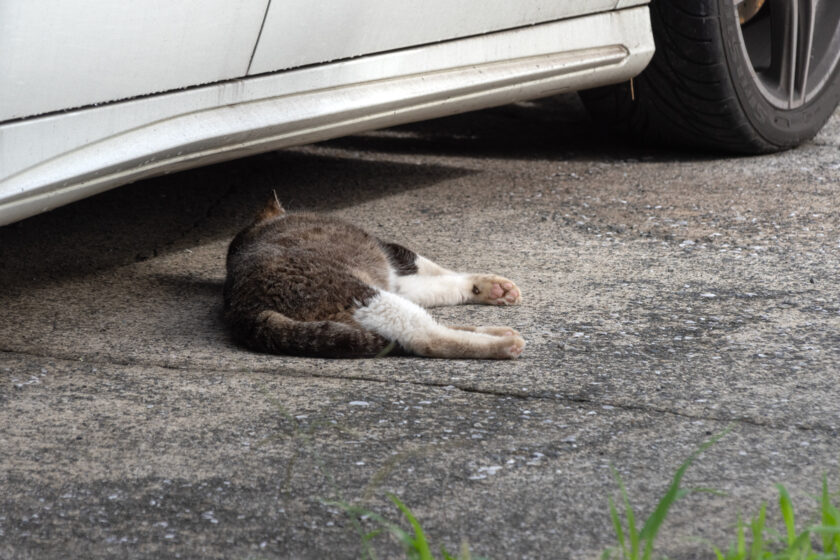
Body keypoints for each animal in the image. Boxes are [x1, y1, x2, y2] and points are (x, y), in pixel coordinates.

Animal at [223, 199, 524, 360]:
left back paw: (495, 330)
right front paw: (492, 287)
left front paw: (491, 289)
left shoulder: (397, 281)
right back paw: (502, 344)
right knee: (425, 336)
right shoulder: (393, 257)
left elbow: (442, 285)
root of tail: (244, 310)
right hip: (365, 297)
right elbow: (434, 268)